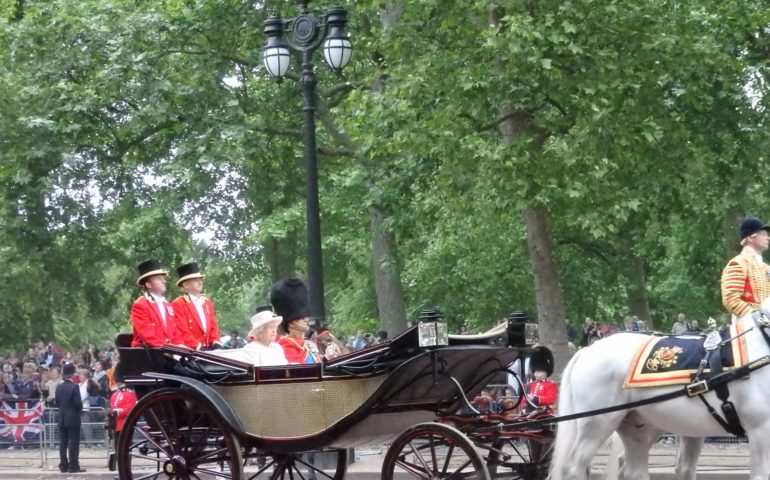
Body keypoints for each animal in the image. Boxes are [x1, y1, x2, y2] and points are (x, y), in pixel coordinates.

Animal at [548, 304, 770, 480]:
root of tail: (587, 349)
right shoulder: (760, 428)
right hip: (597, 423)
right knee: (573, 468)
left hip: (638, 425)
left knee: (636, 471)